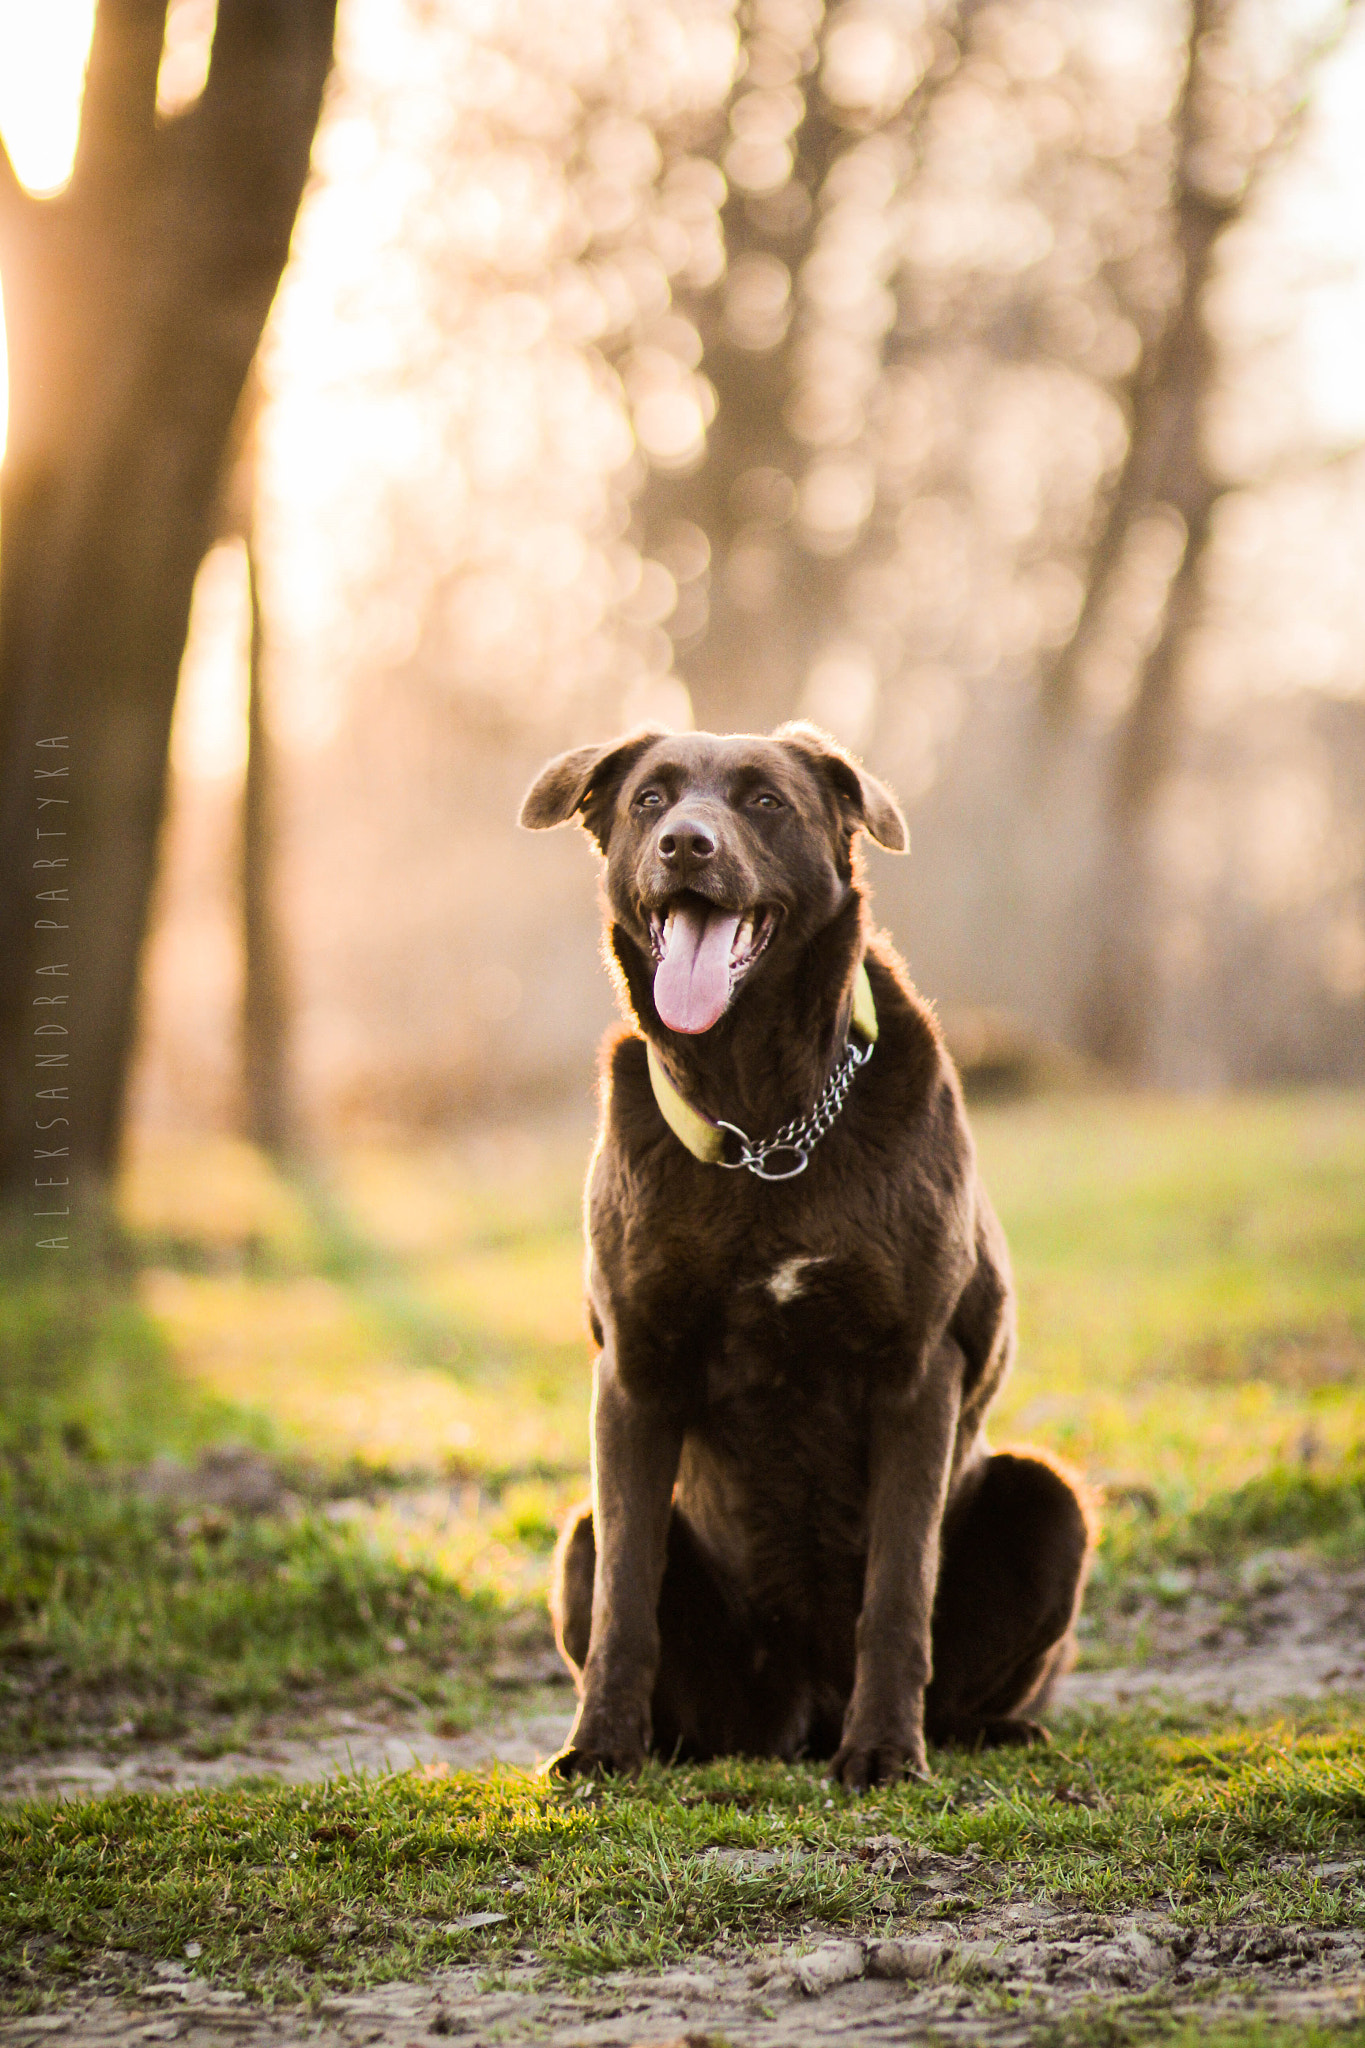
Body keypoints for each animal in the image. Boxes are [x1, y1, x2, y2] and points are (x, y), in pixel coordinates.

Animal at [517, 729, 1096, 1785]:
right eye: (649, 799)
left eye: (764, 801)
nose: (685, 844)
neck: (761, 1123)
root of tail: (800, 1713)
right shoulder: (634, 1373)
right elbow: (627, 1595)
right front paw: (600, 1747)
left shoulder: (916, 1371)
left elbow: (899, 1591)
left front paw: (885, 1754)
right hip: (581, 1541)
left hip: (1050, 1502)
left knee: (972, 1673)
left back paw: (982, 1731)